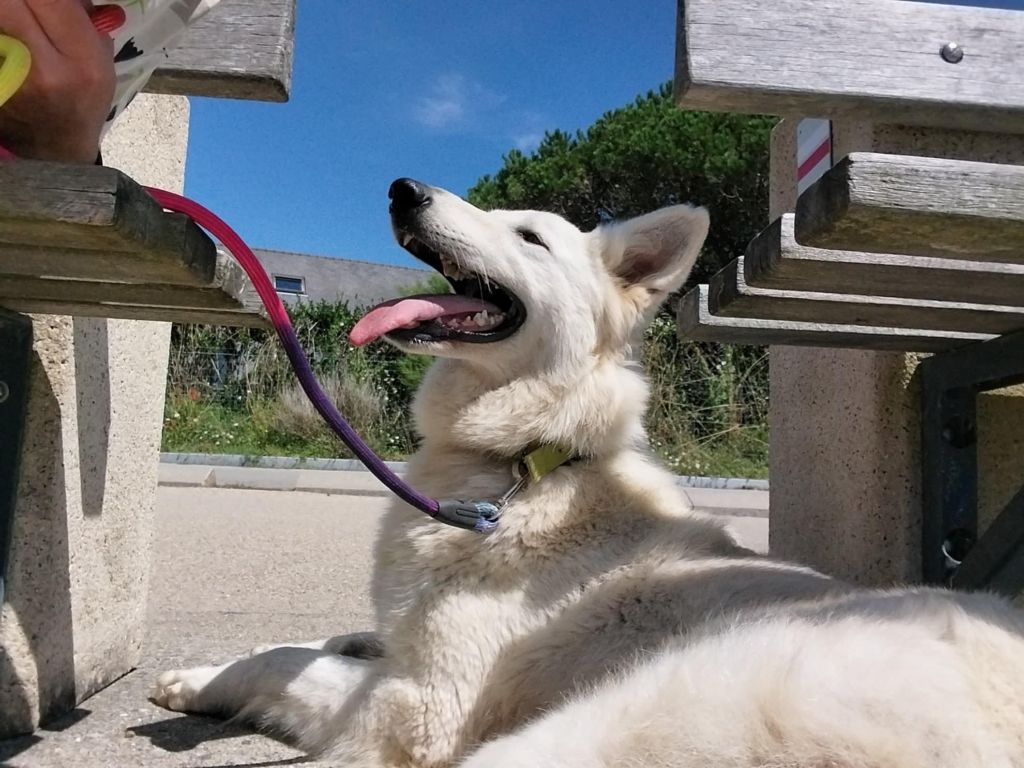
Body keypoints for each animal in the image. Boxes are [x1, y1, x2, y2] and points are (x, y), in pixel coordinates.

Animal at [151, 182, 1024, 768]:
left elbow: (291, 662)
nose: (404, 188)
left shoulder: (419, 708)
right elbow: (311, 639)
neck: (526, 464)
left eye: (530, 237)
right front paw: (196, 676)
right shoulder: (400, 647)